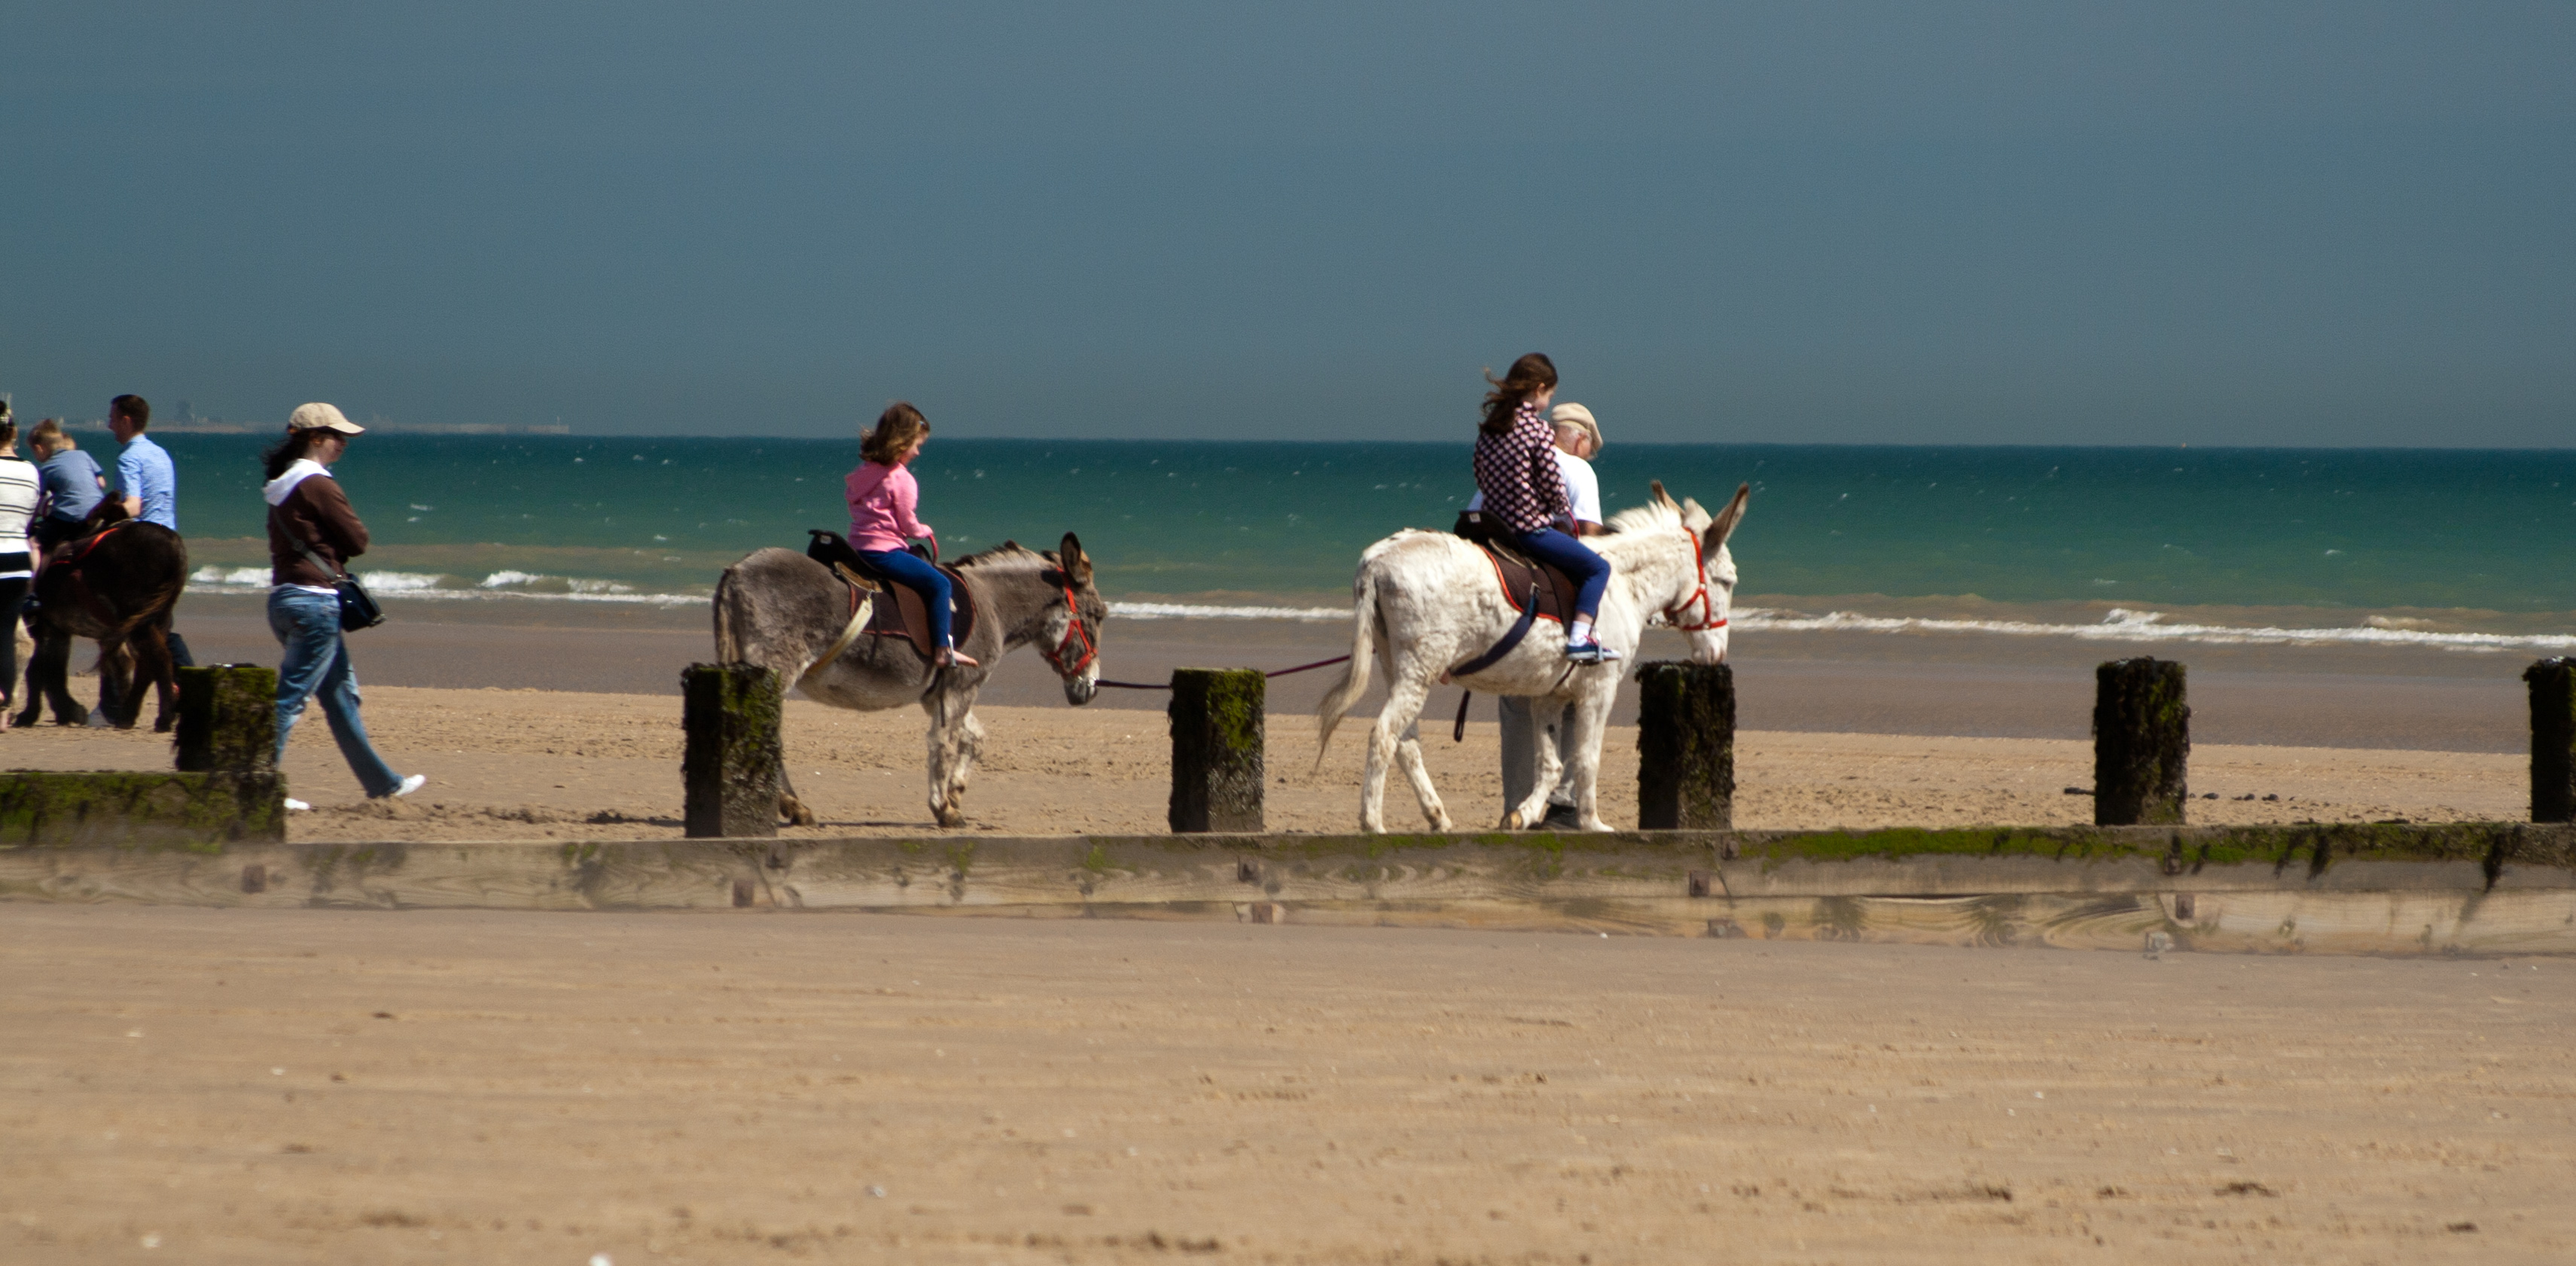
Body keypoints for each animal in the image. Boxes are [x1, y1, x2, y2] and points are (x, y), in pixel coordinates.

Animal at [17, 508, 191, 732]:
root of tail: (173, 541)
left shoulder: (40, 625)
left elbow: (37, 670)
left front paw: (32, 714)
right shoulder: (57, 628)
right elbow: (54, 669)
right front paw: (68, 712)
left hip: (140, 621)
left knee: (158, 659)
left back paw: (161, 718)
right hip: (156, 620)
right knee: (147, 664)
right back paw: (128, 716)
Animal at [711, 532, 1106, 828]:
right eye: (1100, 615)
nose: (1089, 689)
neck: (993, 605)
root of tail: (737, 569)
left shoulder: (939, 695)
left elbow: (975, 739)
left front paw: (956, 793)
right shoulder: (962, 687)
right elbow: (943, 743)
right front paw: (943, 810)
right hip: (773, 669)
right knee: (763, 733)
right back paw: (792, 807)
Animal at [1316, 481, 1749, 833]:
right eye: (1728, 581)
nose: (1716, 655)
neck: (1620, 583)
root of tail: (1379, 558)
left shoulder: (1548, 696)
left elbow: (1551, 765)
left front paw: (1522, 815)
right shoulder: (1599, 690)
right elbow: (1586, 759)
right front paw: (1591, 823)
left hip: (1397, 669)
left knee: (1406, 744)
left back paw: (1437, 817)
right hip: (1418, 672)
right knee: (1384, 736)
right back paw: (1373, 823)